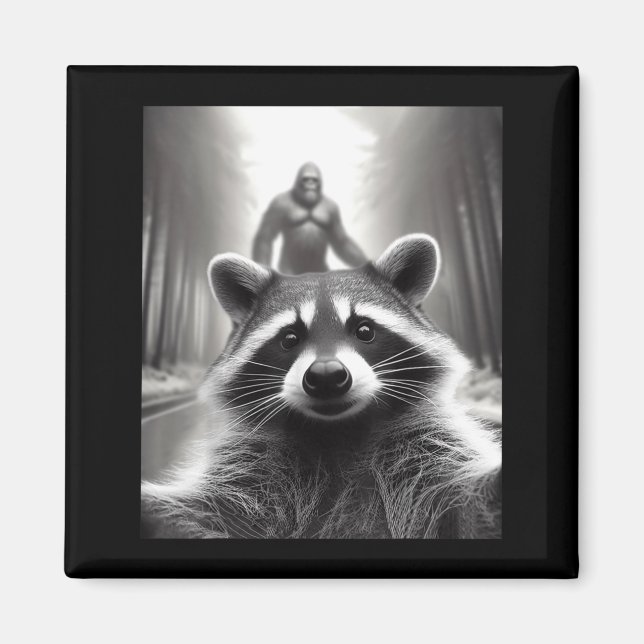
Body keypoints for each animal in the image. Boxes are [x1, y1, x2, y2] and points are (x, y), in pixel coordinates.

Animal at [141, 234, 501, 539]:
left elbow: (459, 506)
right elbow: (212, 513)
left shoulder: (425, 445)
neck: (338, 430)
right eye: (290, 338)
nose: (326, 375)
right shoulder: (253, 467)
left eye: (364, 330)